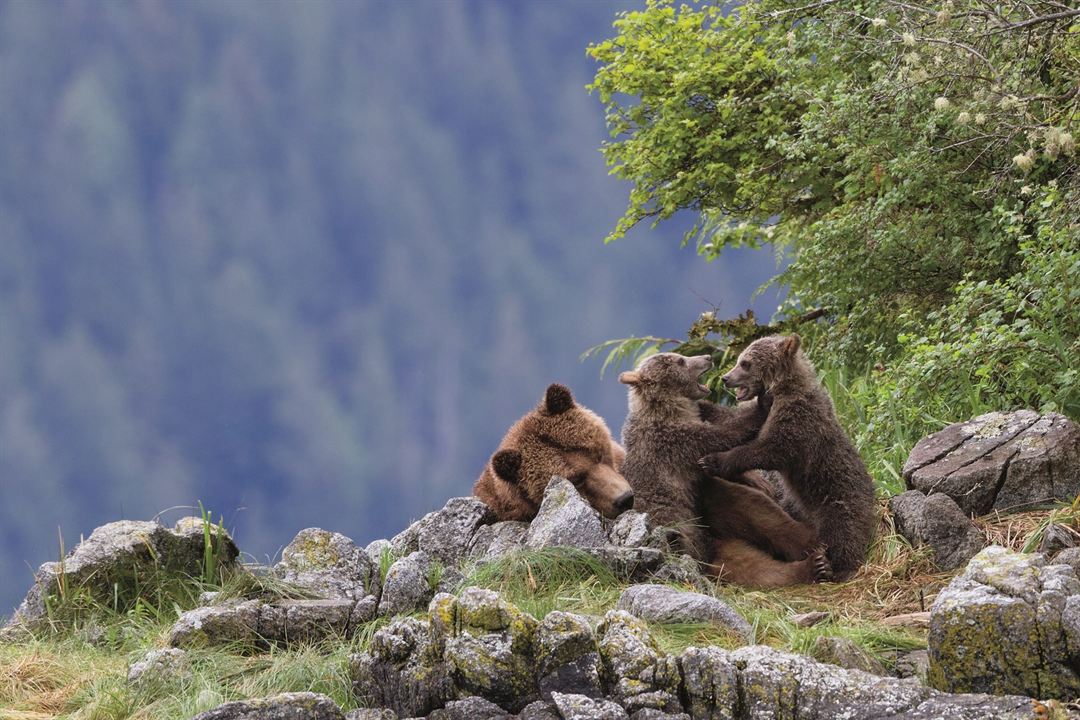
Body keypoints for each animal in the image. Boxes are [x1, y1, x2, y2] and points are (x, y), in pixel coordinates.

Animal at [617, 351, 825, 587]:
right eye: (680, 360)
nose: (707, 357)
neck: (669, 408)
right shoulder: (672, 439)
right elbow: (723, 434)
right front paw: (763, 403)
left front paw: (758, 480)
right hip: (691, 538)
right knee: (754, 568)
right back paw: (811, 565)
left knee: (754, 515)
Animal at [699, 334, 876, 582]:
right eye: (739, 359)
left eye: (745, 363)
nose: (725, 378)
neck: (781, 388)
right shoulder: (764, 411)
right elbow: (735, 419)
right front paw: (704, 406)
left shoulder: (796, 419)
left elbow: (768, 449)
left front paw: (712, 461)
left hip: (838, 499)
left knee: (843, 534)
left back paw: (836, 568)